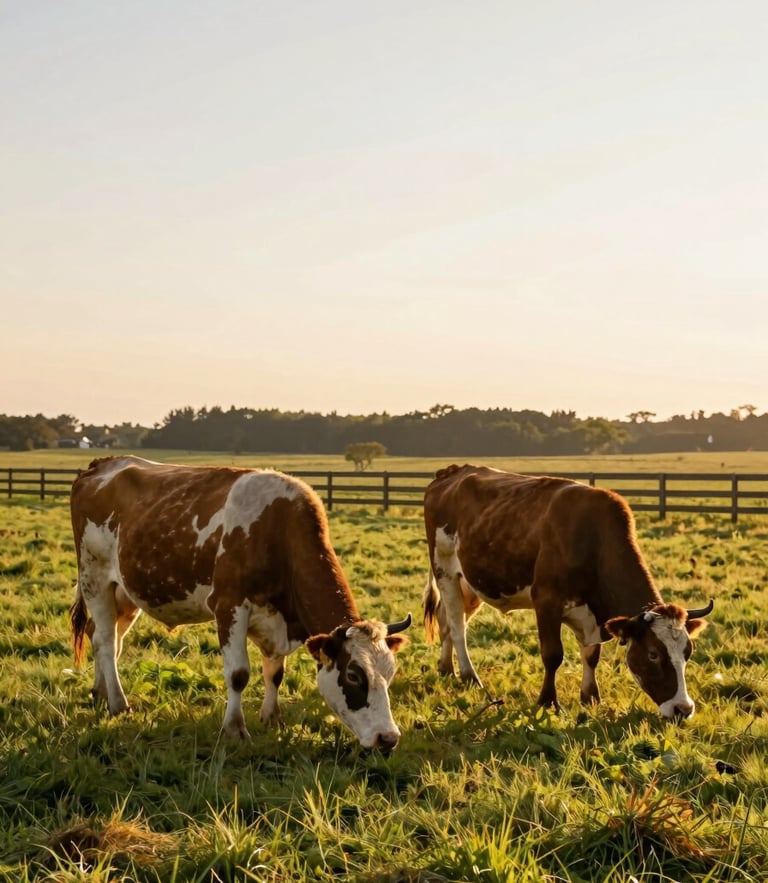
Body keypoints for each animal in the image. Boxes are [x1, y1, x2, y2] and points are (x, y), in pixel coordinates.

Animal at [70, 456, 411, 751]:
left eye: (391, 673)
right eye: (354, 675)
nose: (388, 738)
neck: (276, 528)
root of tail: (102, 464)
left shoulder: (275, 619)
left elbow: (275, 673)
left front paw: (272, 718)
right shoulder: (229, 606)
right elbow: (238, 674)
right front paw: (234, 730)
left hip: (126, 592)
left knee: (107, 638)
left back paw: (100, 693)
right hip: (94, 577)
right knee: (105, 641)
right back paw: (118, 703)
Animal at [422, 464, 714, 719]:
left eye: (688, 652)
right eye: (653, 654)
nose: (683, 709)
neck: (593, 540)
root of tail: (452, 472)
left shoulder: (594, 617)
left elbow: (591, 656)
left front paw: (590, 697)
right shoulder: (546, 602)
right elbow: (553, 655)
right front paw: (548, 702)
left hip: (470, 584)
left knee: (445, 620)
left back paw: (446, 669)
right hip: (444, 570)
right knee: (457, 625)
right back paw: (469, 676)